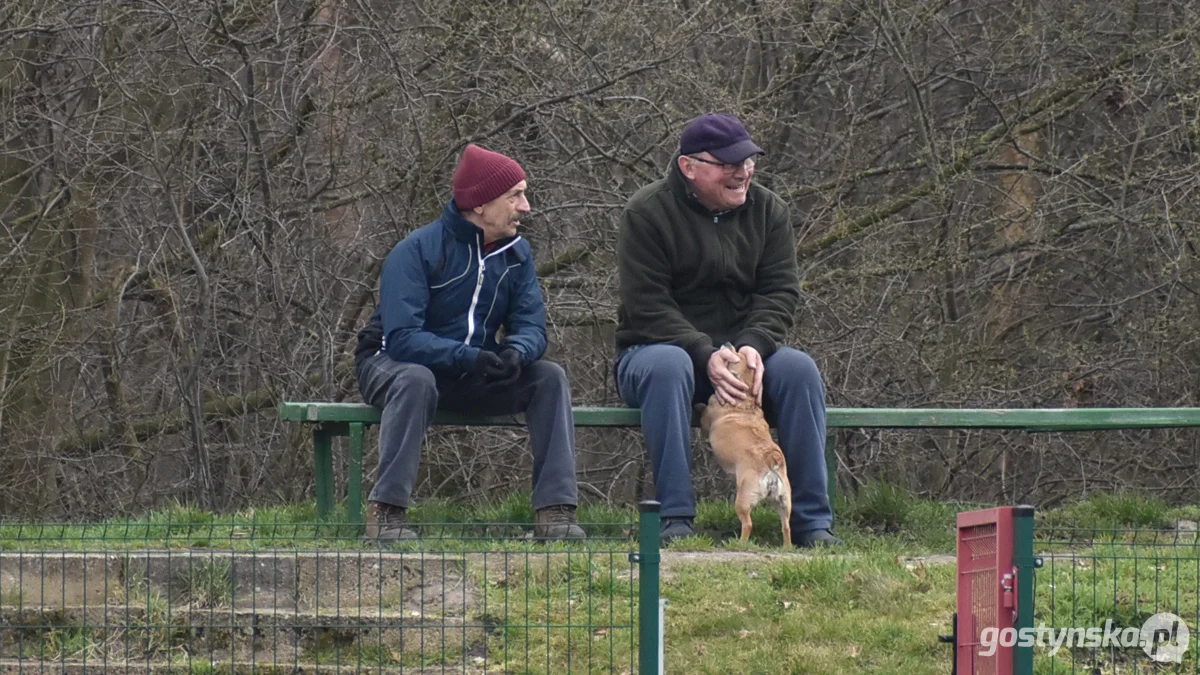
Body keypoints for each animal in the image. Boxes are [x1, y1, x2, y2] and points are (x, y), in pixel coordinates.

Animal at [700, 343, 792, 542]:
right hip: (783, 500)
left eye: (733, 358)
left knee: (748, 523)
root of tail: (771, 459)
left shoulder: (708, 415)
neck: (746, 399)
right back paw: (787, 546)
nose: (728, 344)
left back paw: (740, 543)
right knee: (786, 526)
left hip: (743, 497)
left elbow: (703, 411)